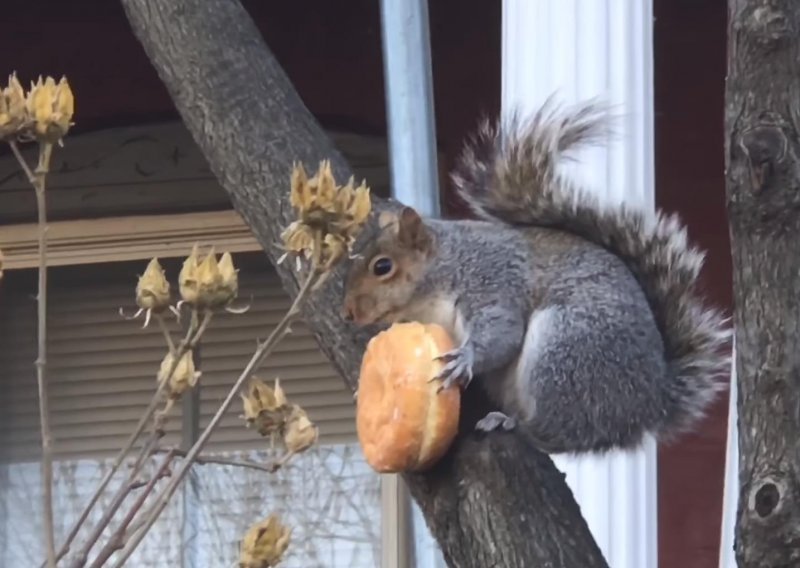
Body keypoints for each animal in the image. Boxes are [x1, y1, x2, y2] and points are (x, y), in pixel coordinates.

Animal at [340, 97, 728, 452]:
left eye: (383, 267)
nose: (349, 313)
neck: (449, 265)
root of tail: (649, 403)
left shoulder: (493, 283)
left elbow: (501, 334)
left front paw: (466, 359)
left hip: (566, 350)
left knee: (561, 432)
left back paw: (512, 424)